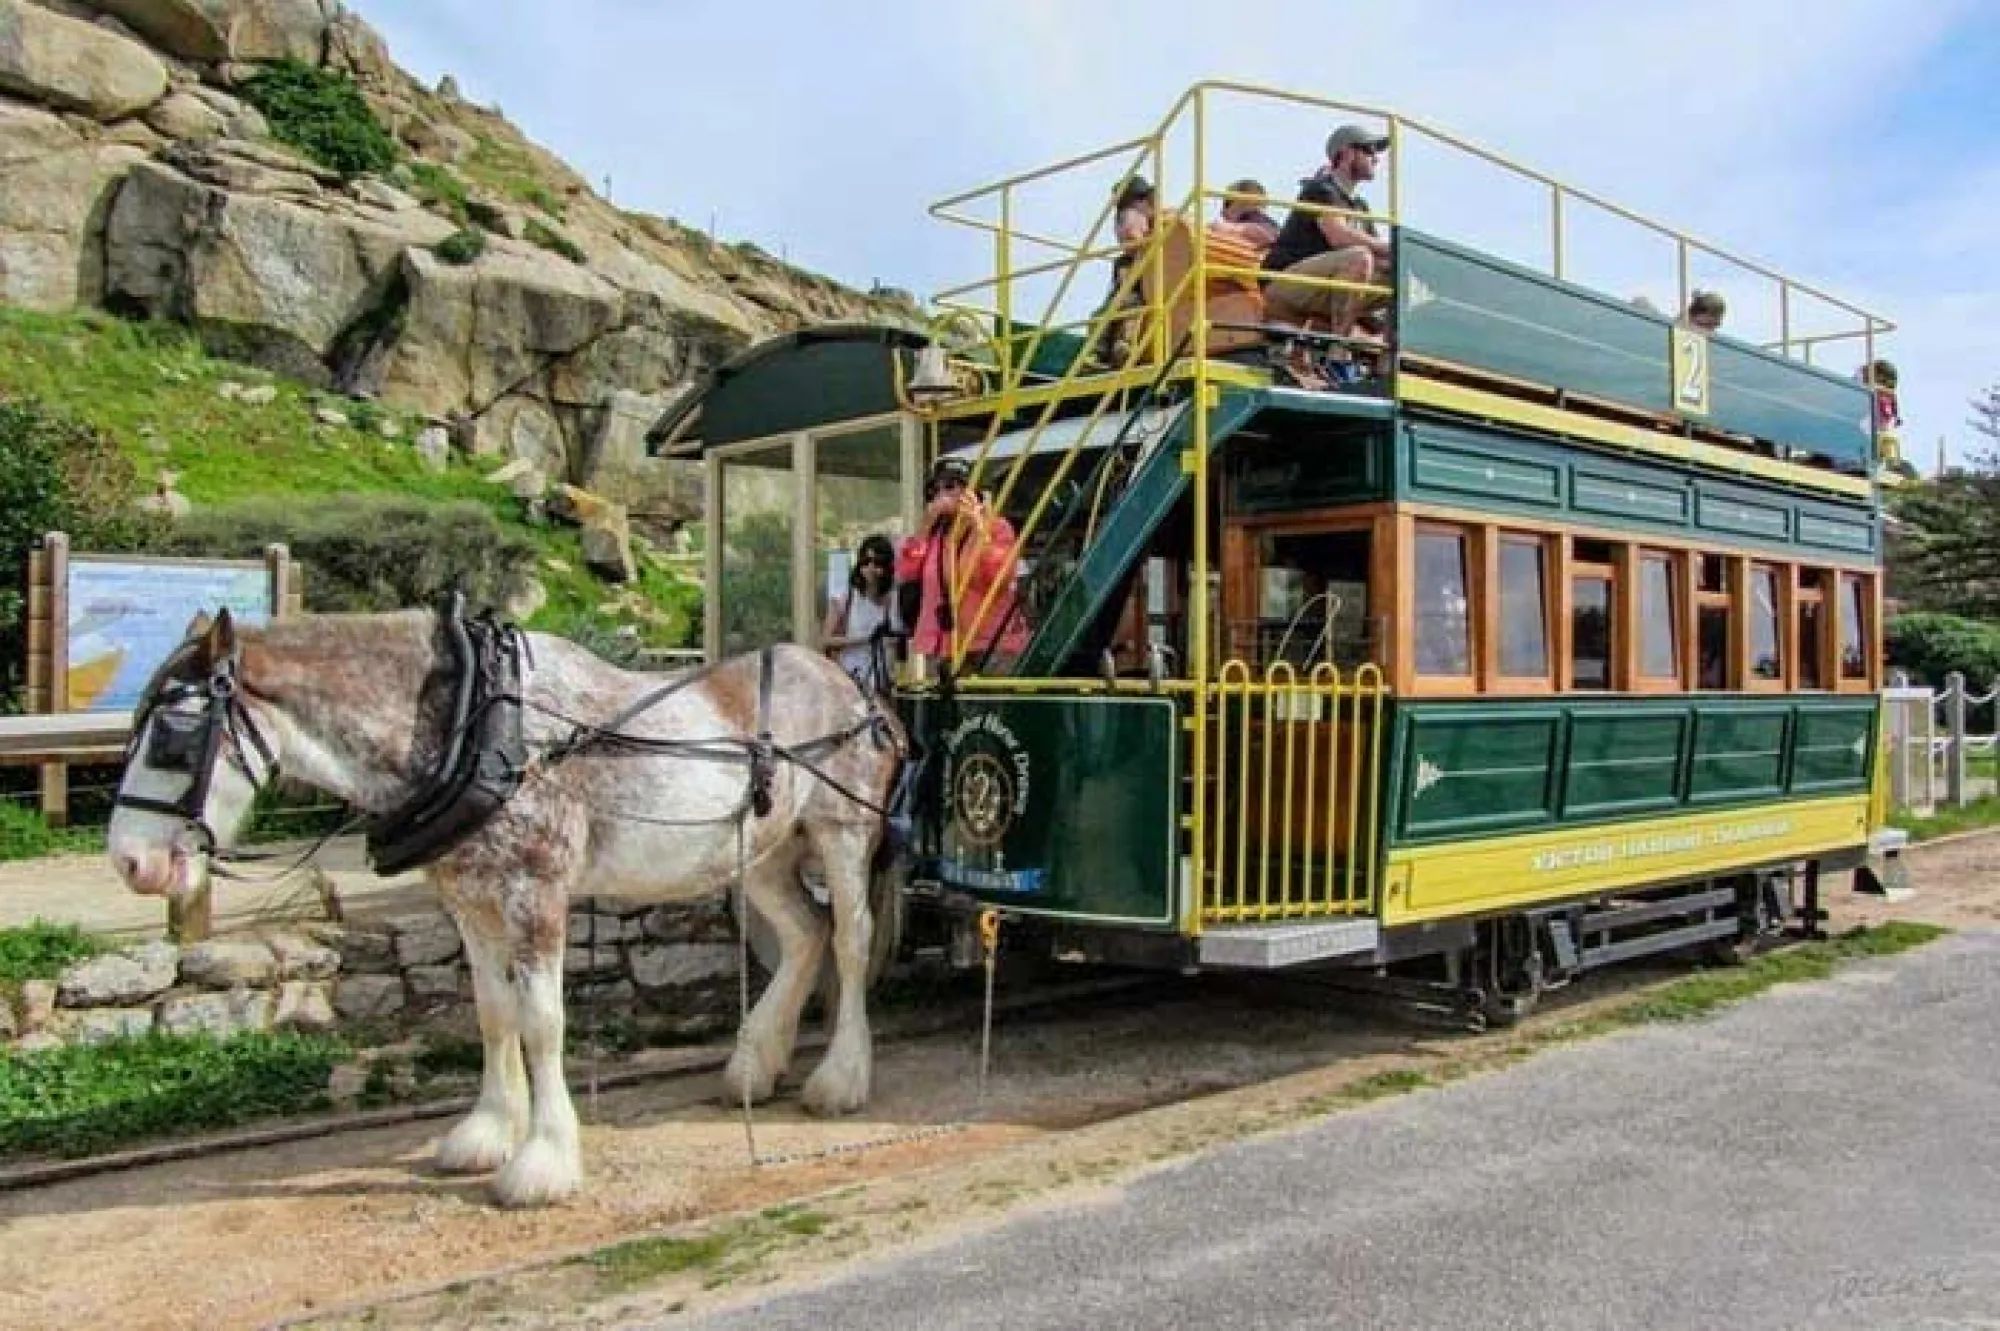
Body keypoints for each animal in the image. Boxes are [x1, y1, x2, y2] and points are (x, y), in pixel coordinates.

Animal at [101, 607, 900, 1207]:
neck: (473, 729)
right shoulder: (470, 902)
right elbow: (492, 1013)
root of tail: (855, 688)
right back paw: (755, 1063)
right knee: (804, 933)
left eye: (173, 738)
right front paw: (487, 1130)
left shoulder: (535, 894)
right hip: (761, 852)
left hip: (841, 832)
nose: (130, 862)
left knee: (851, 939)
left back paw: (841, 1078)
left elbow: (542, 1023)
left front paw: (544, 1160)